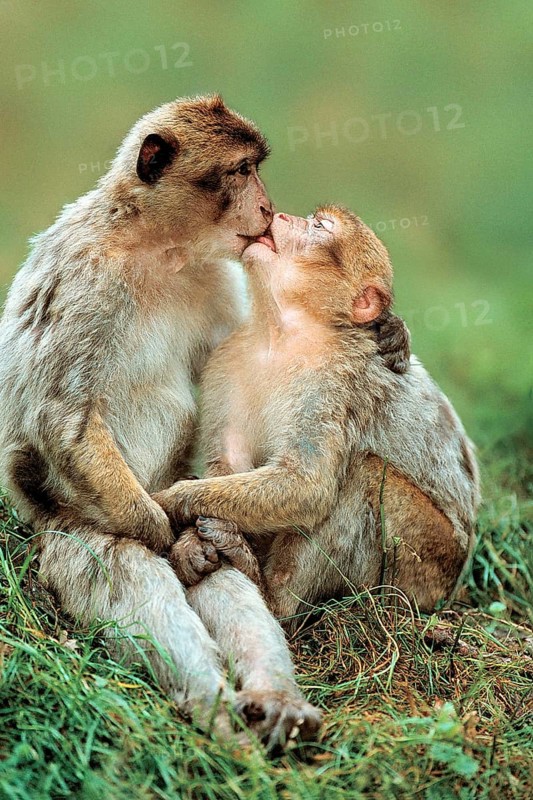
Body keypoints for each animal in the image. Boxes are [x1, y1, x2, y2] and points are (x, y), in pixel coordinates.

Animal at [153, 205, 481, 632]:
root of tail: (453, 586)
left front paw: (172, 500)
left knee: (362, 474)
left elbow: (307, 485)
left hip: (425, 565)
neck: (282, 334)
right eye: (311, 218)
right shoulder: (228, 360)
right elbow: (230, 461)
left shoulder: (333, 379)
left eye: (320, 227)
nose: (281, 214)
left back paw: (273, 596)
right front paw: (191, 544)